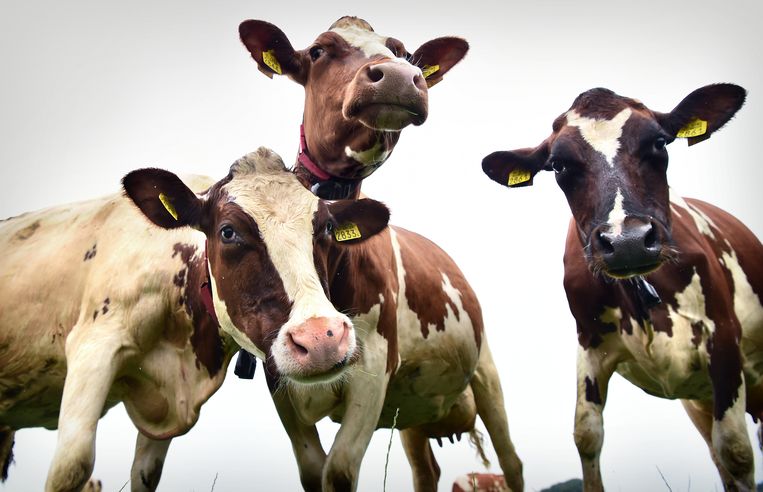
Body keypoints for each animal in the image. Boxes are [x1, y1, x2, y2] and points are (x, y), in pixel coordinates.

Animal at [0, 148, 391, 491]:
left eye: (325, 228)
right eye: (228, 232)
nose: (321, 338)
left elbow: (145, 473)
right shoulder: (94, 347)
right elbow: (72, 467)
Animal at [239, 17, 523, 491]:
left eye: (405, 54)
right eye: (318, 51)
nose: (397, 76)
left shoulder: (373, 364)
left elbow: (338, 470)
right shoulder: (279, 377)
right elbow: (313, 471)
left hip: (486, 371)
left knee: (512, 461)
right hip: (411, 411)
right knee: (426, 470)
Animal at [481, 83, 762, 490]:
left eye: (659, 142)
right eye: (558, 165)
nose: (627, 241)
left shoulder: (723, 337)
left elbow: (736, 449)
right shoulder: (590, 346)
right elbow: (586, 436)